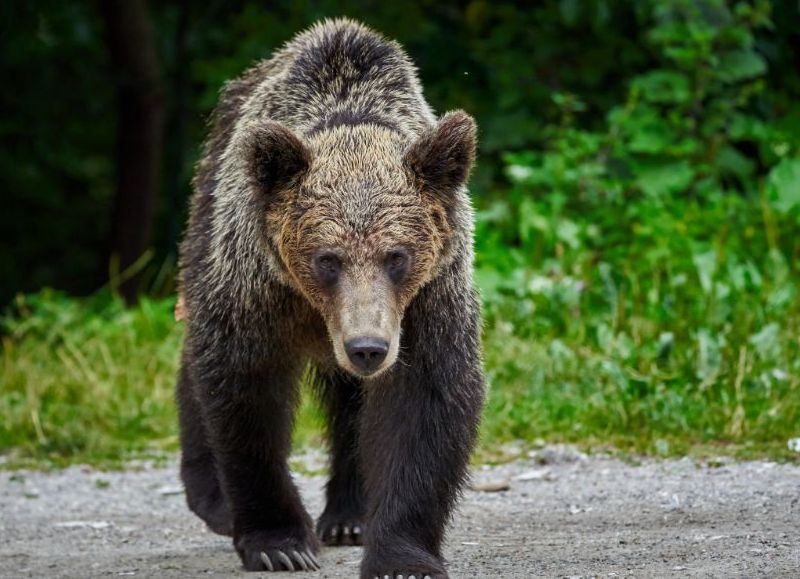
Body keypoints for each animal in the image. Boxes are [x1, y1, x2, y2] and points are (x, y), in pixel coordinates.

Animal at [176, 18, 484, 579]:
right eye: (327, 258)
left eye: (396, 255)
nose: (367, 348)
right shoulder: (258, 288)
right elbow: (245, 392)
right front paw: (279, 543)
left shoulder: (427, 299)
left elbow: (422, 402)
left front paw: (401, 556)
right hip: (203, 225)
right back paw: (213, 498)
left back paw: (349, 517)